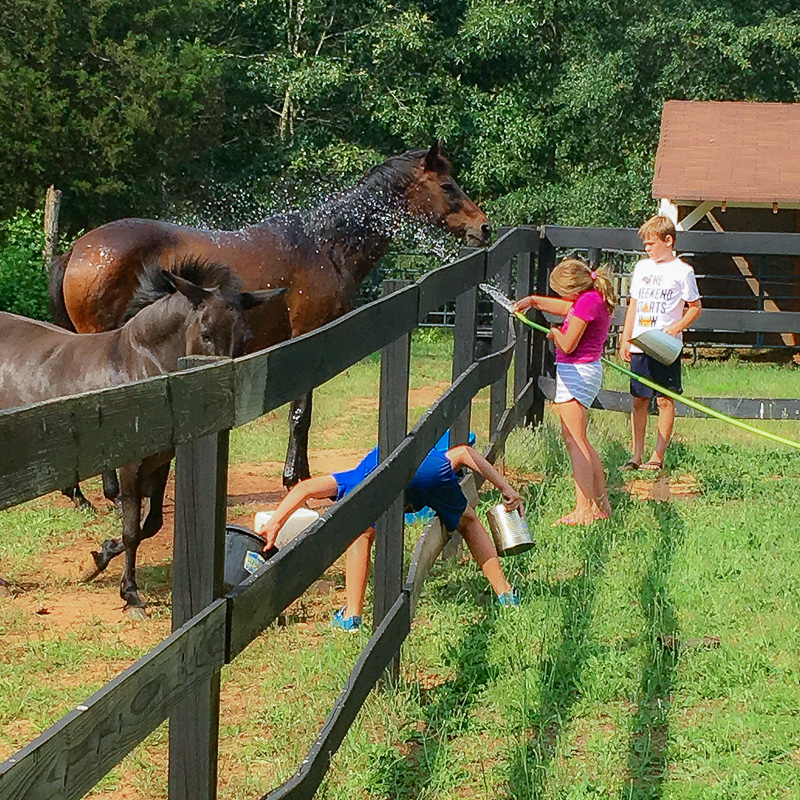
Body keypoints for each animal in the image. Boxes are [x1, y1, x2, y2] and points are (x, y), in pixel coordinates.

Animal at [0, 260, 284, 608]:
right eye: (205, 333)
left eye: (246, 336)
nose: (230, 391)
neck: (139, 367)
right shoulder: (129, 465)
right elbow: (132, 529)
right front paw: (131, 593)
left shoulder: (161, 461)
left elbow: (151, 525)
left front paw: (98, 558)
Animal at [50, 141, 490, 500]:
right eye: (448, 186)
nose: (483, 226)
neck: (324, 245)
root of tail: (78, 249)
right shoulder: (308, 338)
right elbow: (300, 412)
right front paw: (294, 478)